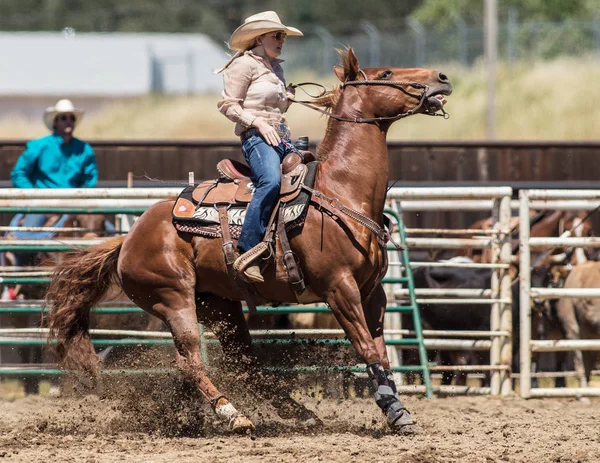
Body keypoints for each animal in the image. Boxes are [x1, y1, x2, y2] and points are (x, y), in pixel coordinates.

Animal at [45, 50, 450, 436]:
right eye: (385, 74)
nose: (441, 77)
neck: (341, 193)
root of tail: (128, 238)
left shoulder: (372, 292)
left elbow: (381, 352)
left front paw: (396, 408)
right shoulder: (340, 289)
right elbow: (367, 348)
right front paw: (396, 413)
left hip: (218, 305)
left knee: (246, 362)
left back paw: (294, 413)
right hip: (174, 298)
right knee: (190, 361)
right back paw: (233, 415)